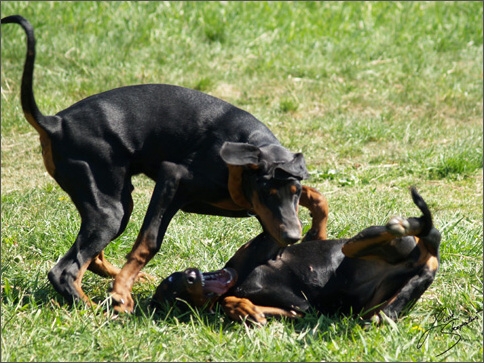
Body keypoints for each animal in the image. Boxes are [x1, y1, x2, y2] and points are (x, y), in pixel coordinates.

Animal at [0, 15, 328, 314]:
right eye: (265, 193)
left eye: (293, 193)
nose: (292, 238)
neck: (244, 146)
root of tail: (55, 123)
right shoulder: (173, 178)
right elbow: (149, 242)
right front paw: (121, 293)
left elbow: (318, 196)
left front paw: (319, 232)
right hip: (110, 207)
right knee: (65, 270)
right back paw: (95, 308)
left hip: (115, 204)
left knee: (91, 257)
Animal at [153, 188, 440, 324]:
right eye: (176, 296)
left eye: (171, 281)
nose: (190, 277)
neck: (235, 280)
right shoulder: (300, 310)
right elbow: (234, 304)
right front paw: (243, 308)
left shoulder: (267, 242)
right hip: (379, 303)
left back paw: (408, 224)